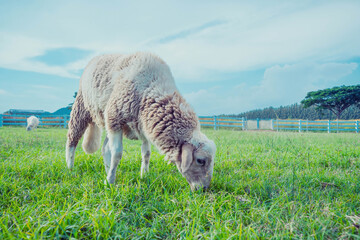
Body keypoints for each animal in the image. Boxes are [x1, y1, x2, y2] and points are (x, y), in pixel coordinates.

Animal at [65, 52, 217, 191]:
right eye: (200, 160)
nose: (204, 189)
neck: (152, 87)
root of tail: (97, 57)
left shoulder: (144, 126)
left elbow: (146, 153)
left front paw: (144, 175)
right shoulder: (115, 118)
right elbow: (117, 153)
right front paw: (110, 182)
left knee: (105, 148)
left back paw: (107, 170)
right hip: (82, 108)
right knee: (72, 140)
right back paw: (70, 167)